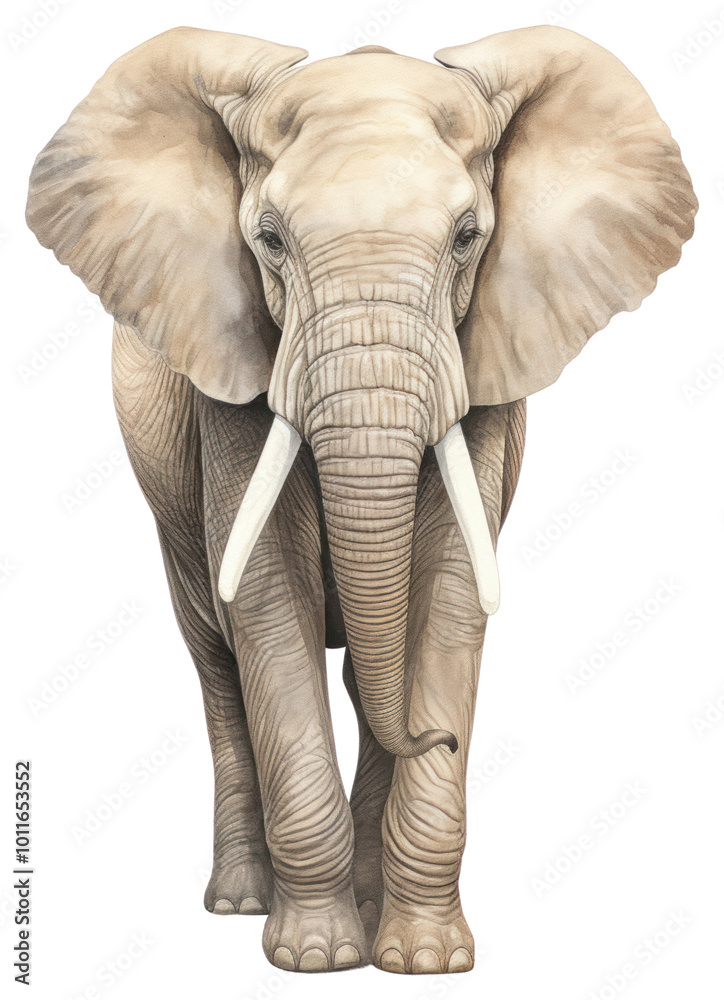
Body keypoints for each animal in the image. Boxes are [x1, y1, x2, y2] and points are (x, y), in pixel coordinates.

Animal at [26, 25, 696, 975]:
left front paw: (424, 962)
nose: (439, 737)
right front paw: (315, 957)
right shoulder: (234, 382)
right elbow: (267, 603)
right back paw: (240, 901)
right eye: (269, 240)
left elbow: (449, 598)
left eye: (467, 237)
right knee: (215, 660)